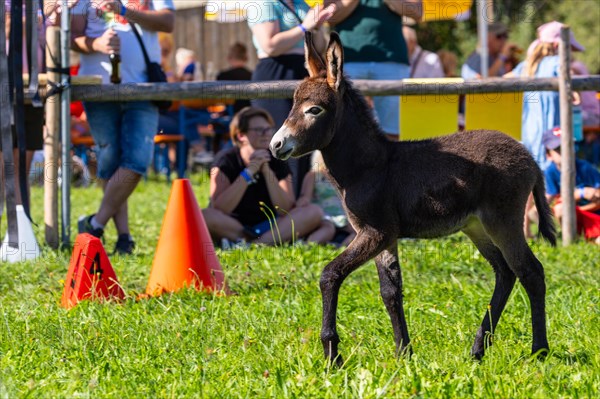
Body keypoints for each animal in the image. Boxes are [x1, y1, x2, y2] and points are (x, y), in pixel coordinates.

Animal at [270, 32, 556, 368]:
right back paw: (478, 349)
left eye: (314, 110)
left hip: (503, 220)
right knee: (506, 273)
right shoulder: (384, 237)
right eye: (292, 104)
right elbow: (391, 292)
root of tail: (530, 157)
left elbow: (330, 274)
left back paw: (539, 350)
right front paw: (403, 353)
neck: (370, 166)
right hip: (477, 226)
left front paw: (332, 354)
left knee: (531, 272)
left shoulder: (375, 232)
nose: (276, 145)